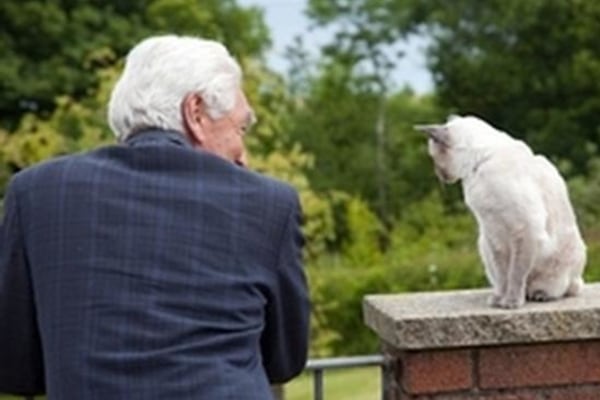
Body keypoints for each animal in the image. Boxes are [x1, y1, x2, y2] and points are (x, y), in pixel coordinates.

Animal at [414, 115, 584, 310]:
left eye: (434, 158)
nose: (440, 175)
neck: (479, 164)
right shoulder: (493, 231)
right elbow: (504, 273)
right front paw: (500, 300)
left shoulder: (523, 229)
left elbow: (516, 274)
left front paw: (511, 303)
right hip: (483, 244)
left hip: (556, 267)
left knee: (556, 288)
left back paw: (538, 295)